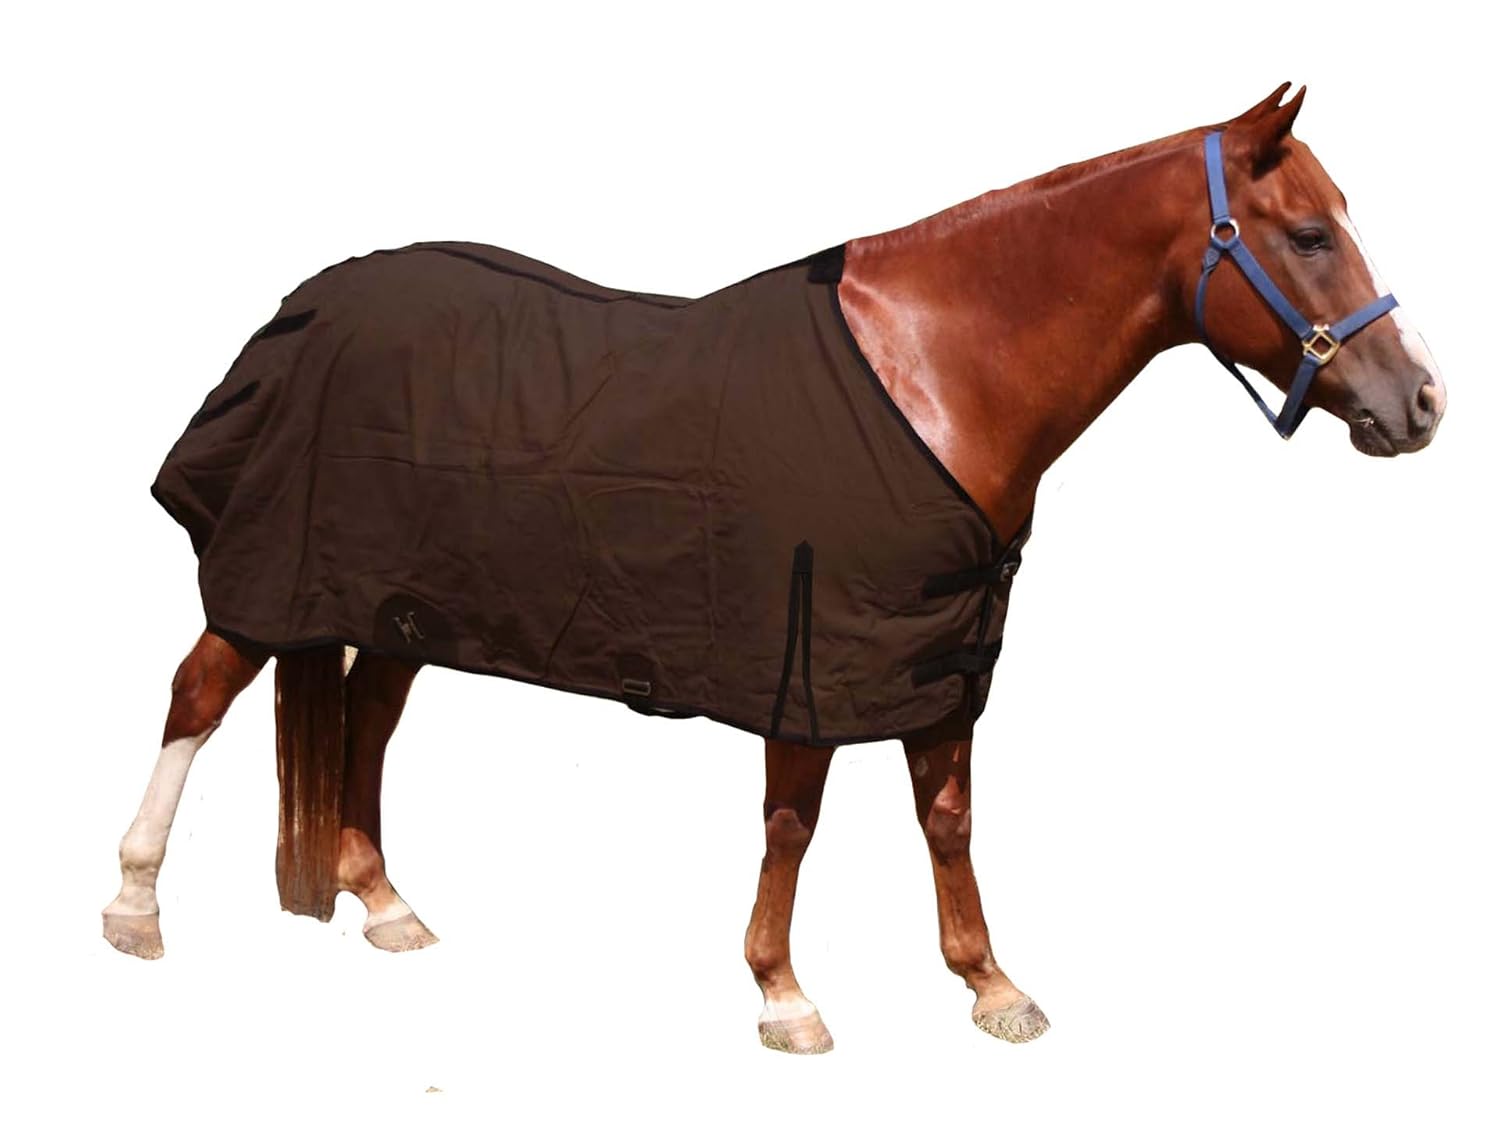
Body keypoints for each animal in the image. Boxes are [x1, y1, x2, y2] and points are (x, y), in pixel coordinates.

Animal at [101, 84, 1445, 1054]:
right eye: (1310, 233)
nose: (1421, 404)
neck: (939, 372)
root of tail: (310, 304)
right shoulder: (812, 648)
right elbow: (794, 821)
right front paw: (783, 995)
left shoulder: (936, 651)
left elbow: (948, 815)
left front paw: (990, 985)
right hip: (281, 583)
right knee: (198, 695)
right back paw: (134, 907)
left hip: (400, 603)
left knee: (366, 724)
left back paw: (383, 904)